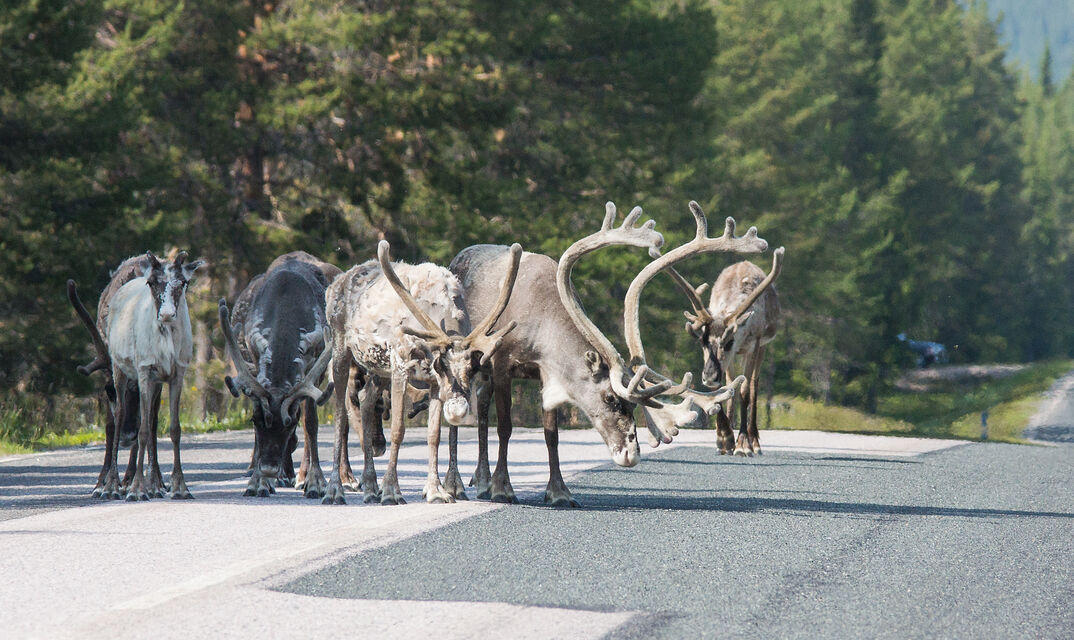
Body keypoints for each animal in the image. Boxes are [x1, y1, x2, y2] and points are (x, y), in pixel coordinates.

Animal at [106, 251, 204, 500]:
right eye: (151, 282)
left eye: (184, 282)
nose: (167, 314)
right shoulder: (145, 371)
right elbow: (141, 430)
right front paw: (137, 489)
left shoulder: (178, 373)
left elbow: (175, 429)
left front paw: (180, 486)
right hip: (119, 367)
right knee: (120, 414)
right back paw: (112, 485)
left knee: (150, 418)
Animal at [218, 256, 335, 498]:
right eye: (256, 420)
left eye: (289, 424)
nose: (269, 468)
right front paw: (258, 482)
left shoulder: (313, 369)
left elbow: (310, 423)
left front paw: (315, 481)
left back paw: (295, 474)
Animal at [320, 241, 521, 505]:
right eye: (442, 365)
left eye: (472, 368)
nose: (458, 411)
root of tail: (334, 284)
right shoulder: (400, 366)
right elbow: (398, 430)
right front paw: (391, 491)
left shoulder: (433, 384)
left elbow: (434, 435)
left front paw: (436, 490)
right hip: (341, 349)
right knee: (341, 412)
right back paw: (335, 490)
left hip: (378, 367)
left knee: (366, 399)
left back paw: (371, 487)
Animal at [640, 201, 783, 456]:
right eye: (702, 341)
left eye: (728, 341)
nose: (708, 375)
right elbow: (727, 389)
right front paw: (724, 438)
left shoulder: (752, 344)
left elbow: (745, 390)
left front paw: (743, 444)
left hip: (763, 346)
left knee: (754, 386)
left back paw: (754, 441)